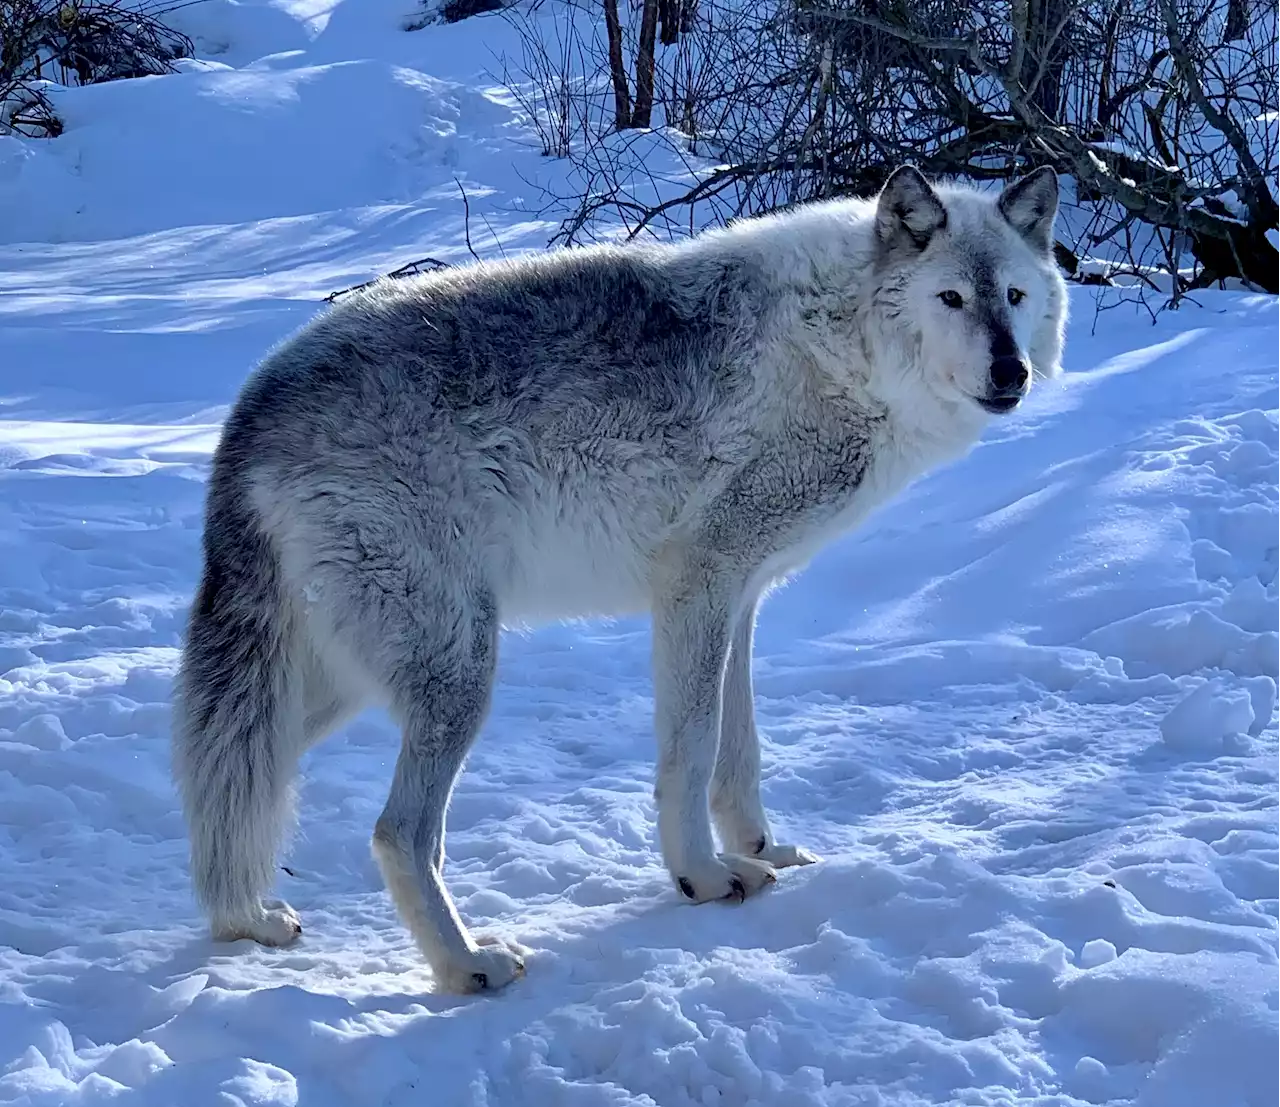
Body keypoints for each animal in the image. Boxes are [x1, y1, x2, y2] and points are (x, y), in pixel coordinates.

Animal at [170, 163, 1070, 993]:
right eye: (951, 298)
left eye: (1015, 296)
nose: (1011, 372)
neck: (843, 347)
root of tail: (253, 401)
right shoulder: (697, 586)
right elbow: (693, 752)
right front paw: (702, 876)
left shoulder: (741, 599)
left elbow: (741, 752)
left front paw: (762, 849)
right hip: (456, 671)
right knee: (396, 832)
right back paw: (466, 965)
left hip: (340, 681)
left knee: (235, 780)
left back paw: (249, 920)